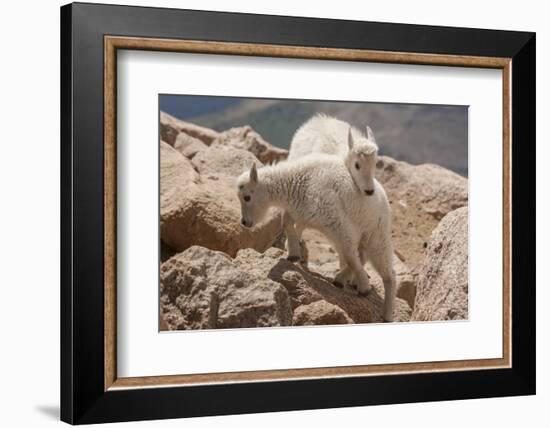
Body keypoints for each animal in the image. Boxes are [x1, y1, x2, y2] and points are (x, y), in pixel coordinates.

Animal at [237, 156, 396, 320]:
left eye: (247, 197)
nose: (244, 222)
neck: (297, 182)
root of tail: (383, 197)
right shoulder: (304, 213)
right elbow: (286, 221)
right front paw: (294, 253)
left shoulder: (337, 222)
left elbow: (350, 255)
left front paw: (364, 288)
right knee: (361, 255)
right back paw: (341, 279)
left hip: (376, 233)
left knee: (388, 273)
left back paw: (386, 313)